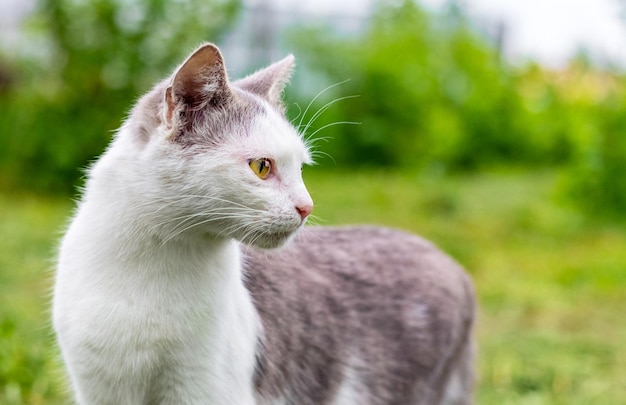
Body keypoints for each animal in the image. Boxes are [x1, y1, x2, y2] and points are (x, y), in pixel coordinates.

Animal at [53, 42, 472, 402]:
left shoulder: (203, 387)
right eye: (261, 167)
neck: (151, 272)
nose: (307, 206)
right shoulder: (98, 386)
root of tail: (454, 265)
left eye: (301, 168)